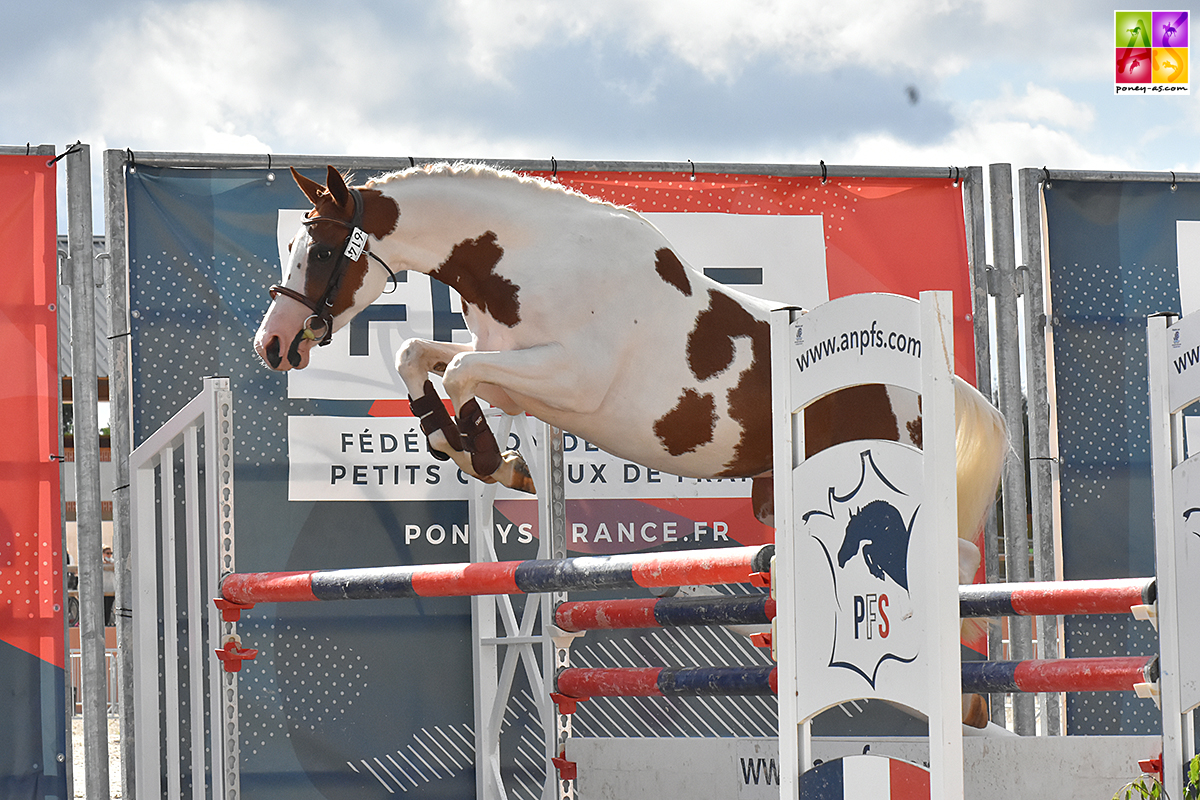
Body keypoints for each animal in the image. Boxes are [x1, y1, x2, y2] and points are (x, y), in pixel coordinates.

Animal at [255, 163, 1012, 724]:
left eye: (322, 252)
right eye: (295, 248)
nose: (273, 345)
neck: (524, 258)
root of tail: (936, 384)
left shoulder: (568, 376)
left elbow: (462, 371)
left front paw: (492, 459)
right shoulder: (512, 372)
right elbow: (420, 353)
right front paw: (474, 450)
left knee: (951, 556)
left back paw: (963, 668)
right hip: (783, 494)